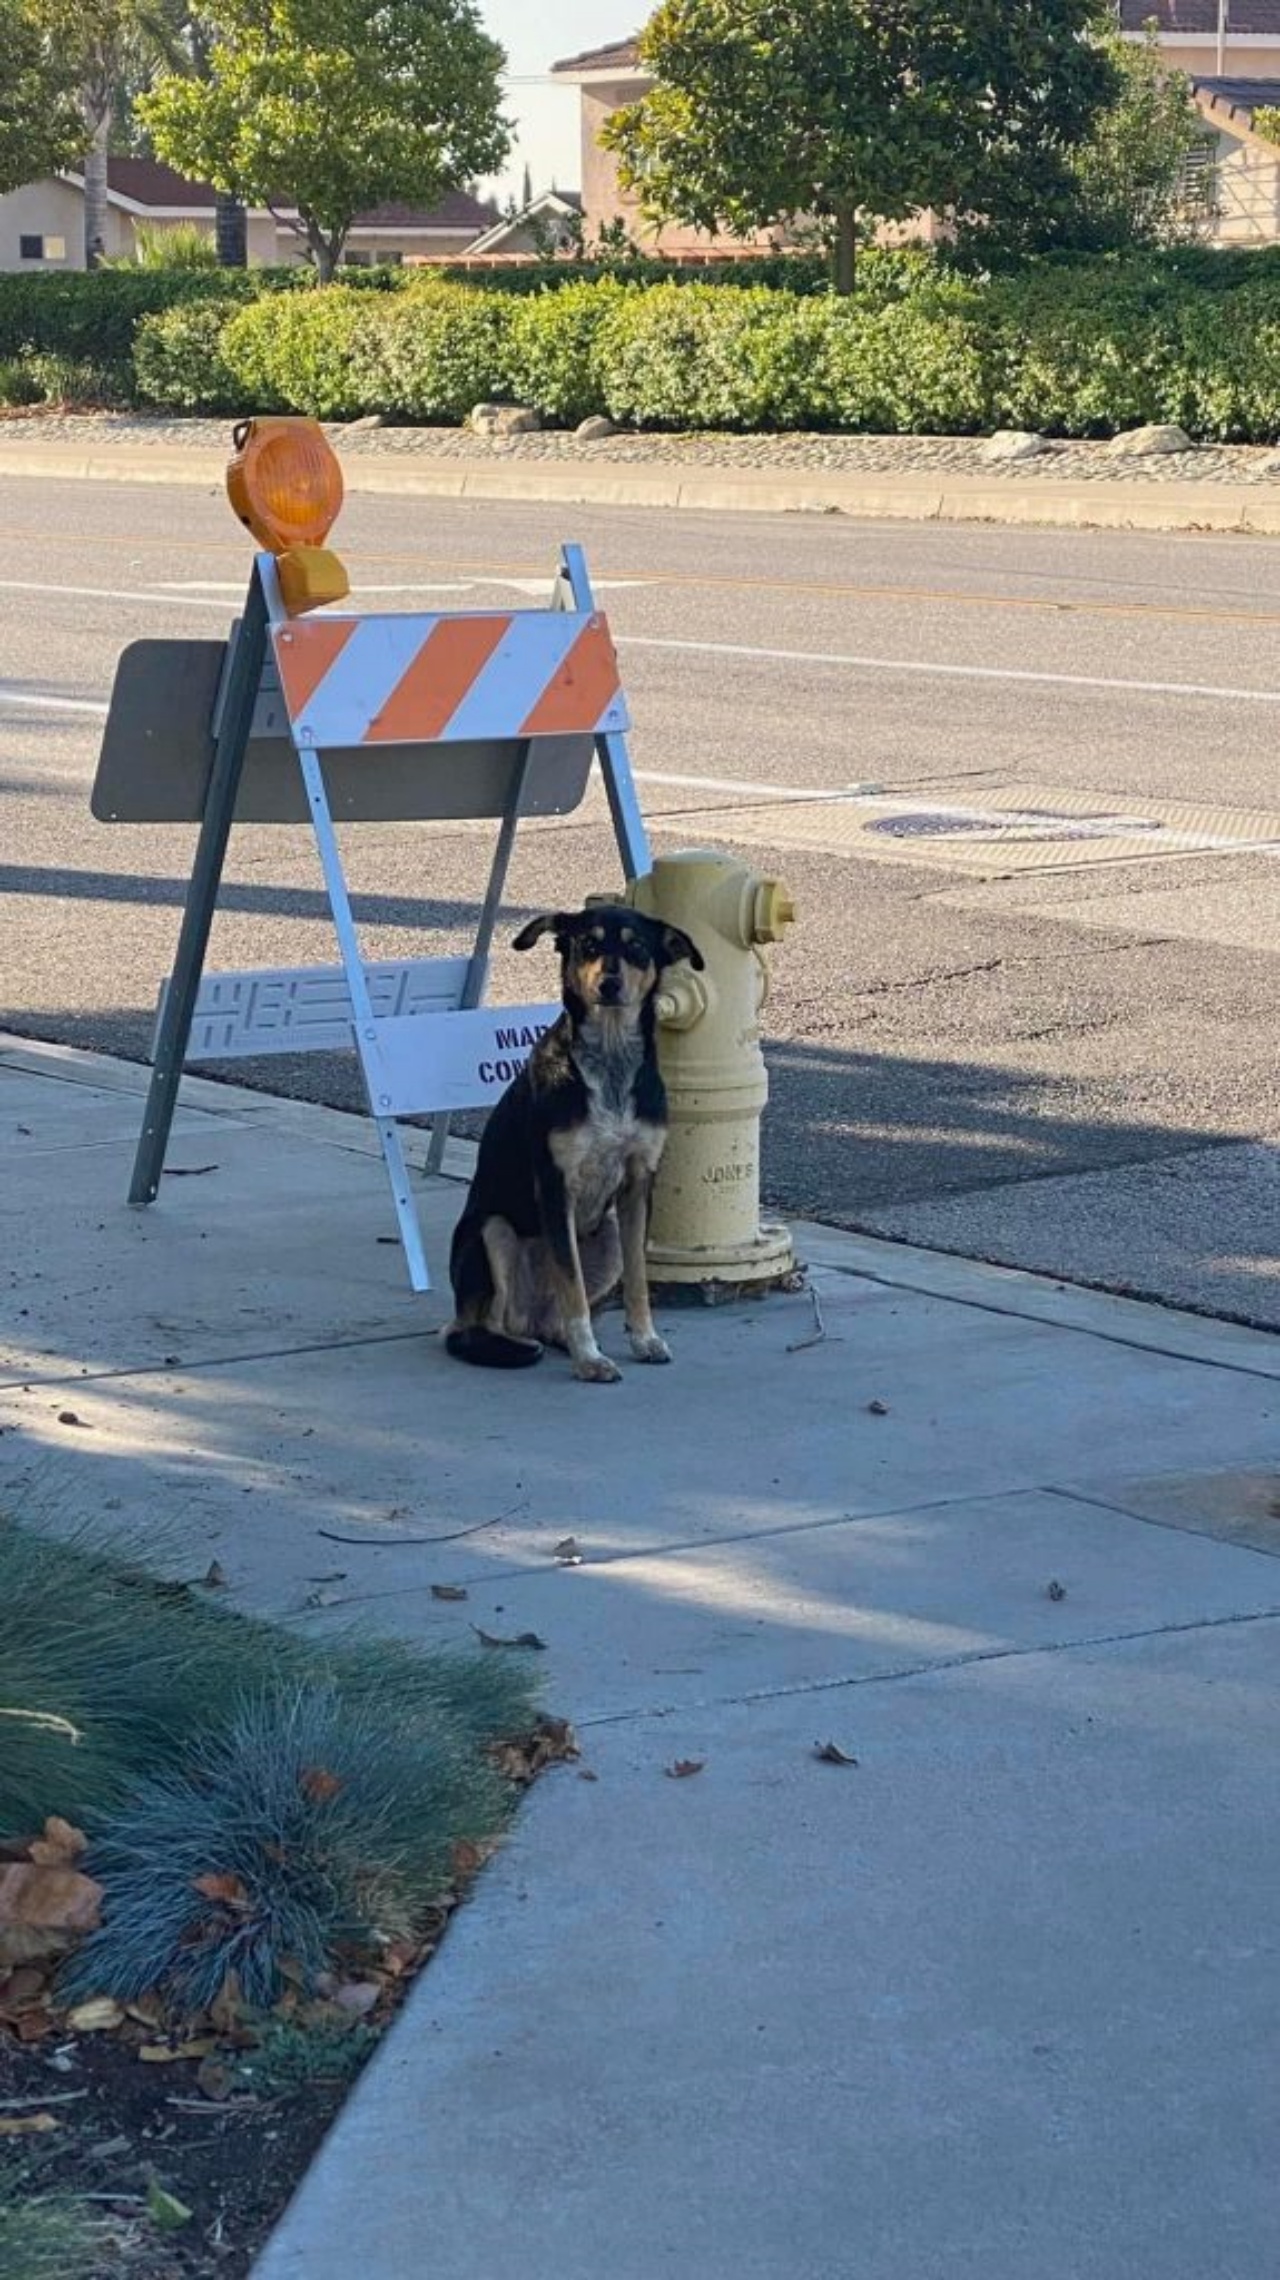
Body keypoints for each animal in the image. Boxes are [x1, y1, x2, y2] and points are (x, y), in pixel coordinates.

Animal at [444, 898, 702, 1377]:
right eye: (588, 945)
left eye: (637, 947)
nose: (609, 983)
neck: (611, 1061)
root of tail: (531, 1319)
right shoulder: (555, 1184)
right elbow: (573, 1284)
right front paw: (589, 1358)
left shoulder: (639, 1183)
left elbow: (637, 1278)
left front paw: (644, 1339)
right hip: (492, 1231)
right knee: (478, 1326)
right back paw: (520, 1347)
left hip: (609, 1236)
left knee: (551, 1317)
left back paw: (560, 1337)